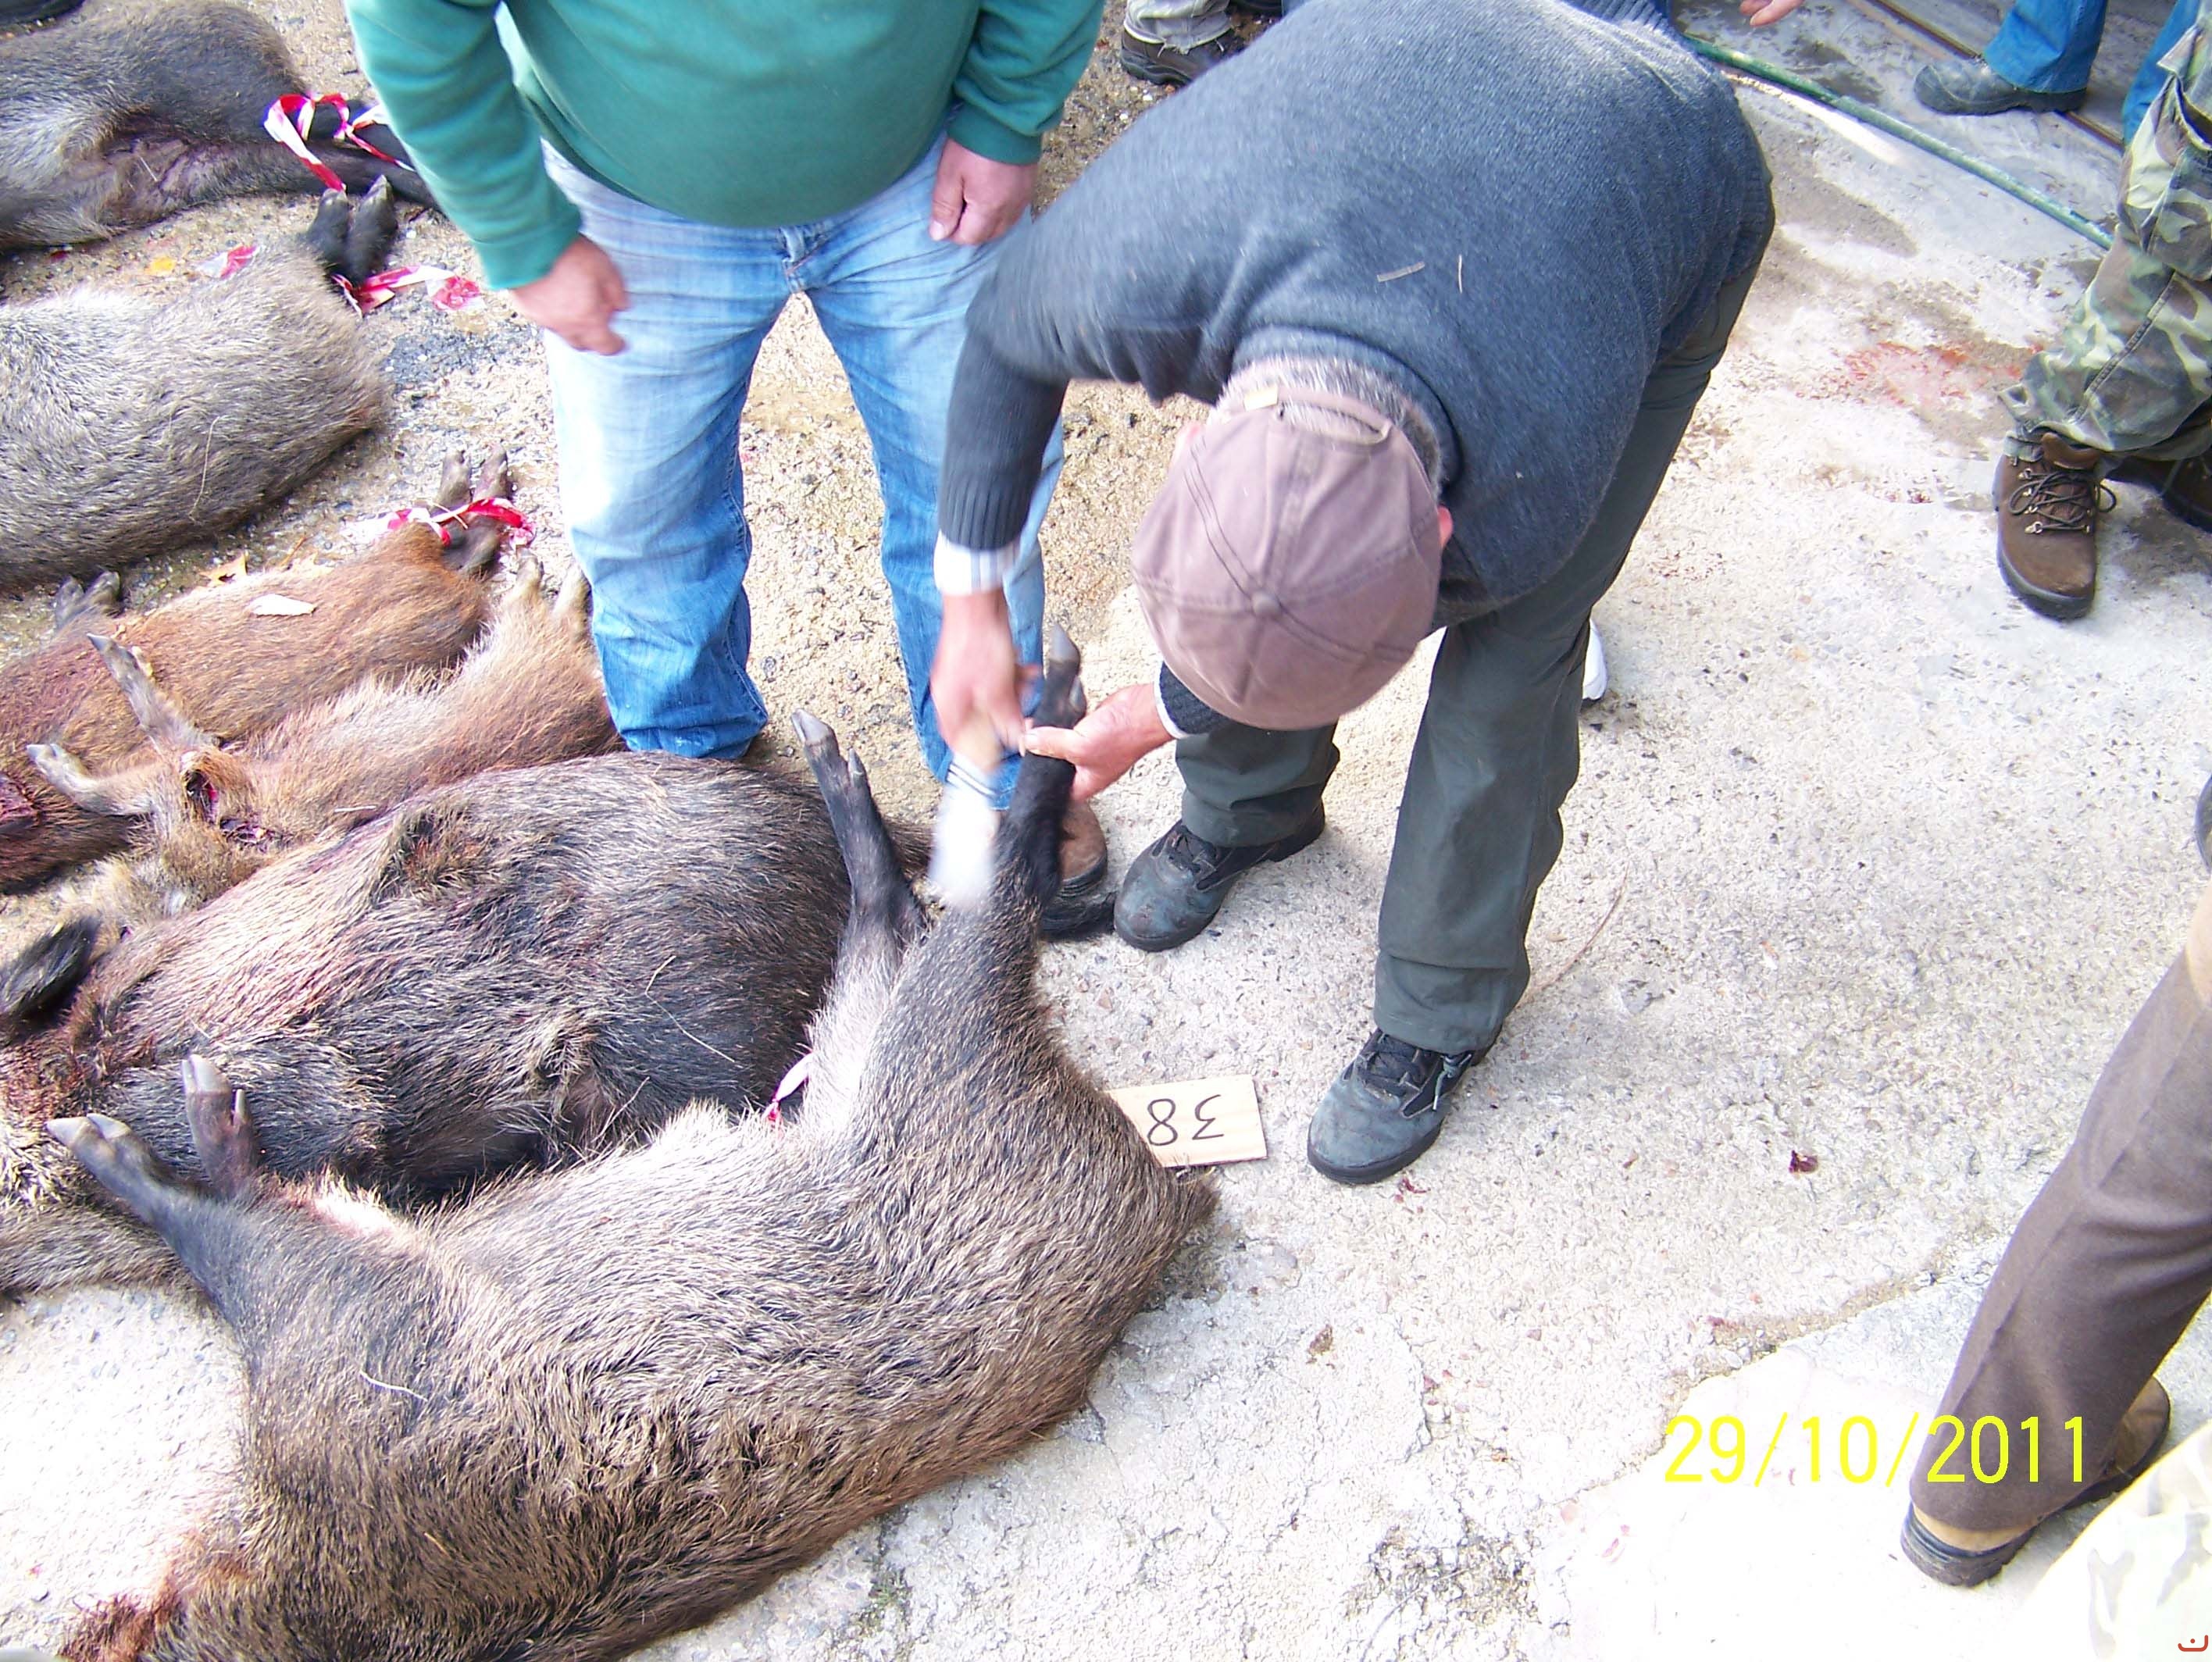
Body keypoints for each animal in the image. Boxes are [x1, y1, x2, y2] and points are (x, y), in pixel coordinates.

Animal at [38, 628, 1215, 1662]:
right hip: (869, 1033)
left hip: (938, 1031)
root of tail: (1159, 1188)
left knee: (992, 885)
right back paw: (856, 750)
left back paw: (1042, 697)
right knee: (897, 913)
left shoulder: (337, 1332)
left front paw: (128, 1132)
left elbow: (234, 1222)